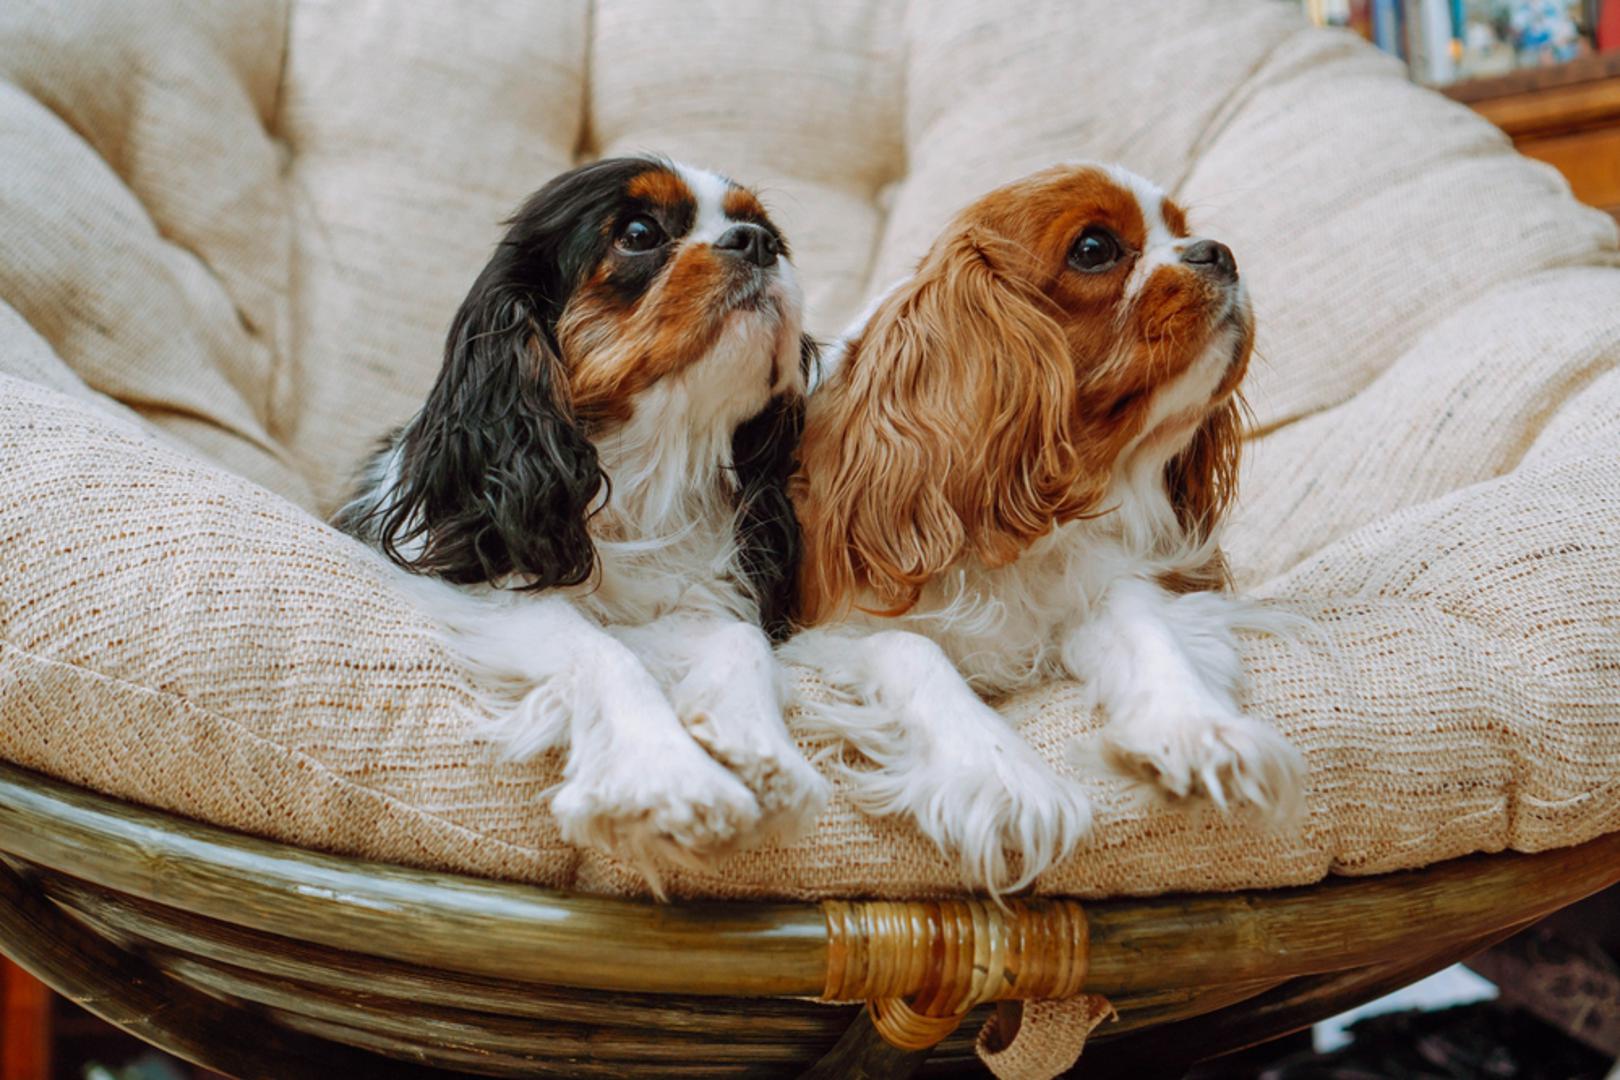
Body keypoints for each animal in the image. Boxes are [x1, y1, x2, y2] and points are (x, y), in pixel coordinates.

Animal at [784, 162, 1302, 893]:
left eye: (1183, 228)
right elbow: (914, 653)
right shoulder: (827, 633)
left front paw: (1198, 730)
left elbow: (1144, 625)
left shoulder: (1096, 581)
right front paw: (1003, 774)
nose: (1217, 251)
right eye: (1094, 248)